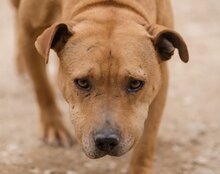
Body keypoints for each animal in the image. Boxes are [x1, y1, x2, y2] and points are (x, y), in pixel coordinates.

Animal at [11, 0, 188, 173]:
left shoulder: (160, 79)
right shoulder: (29, 32)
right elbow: (42, 87)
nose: (106, 140)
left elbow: (147, 140)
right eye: (82, 82)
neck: (109, 5)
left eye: (135, 83)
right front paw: (53, 126)